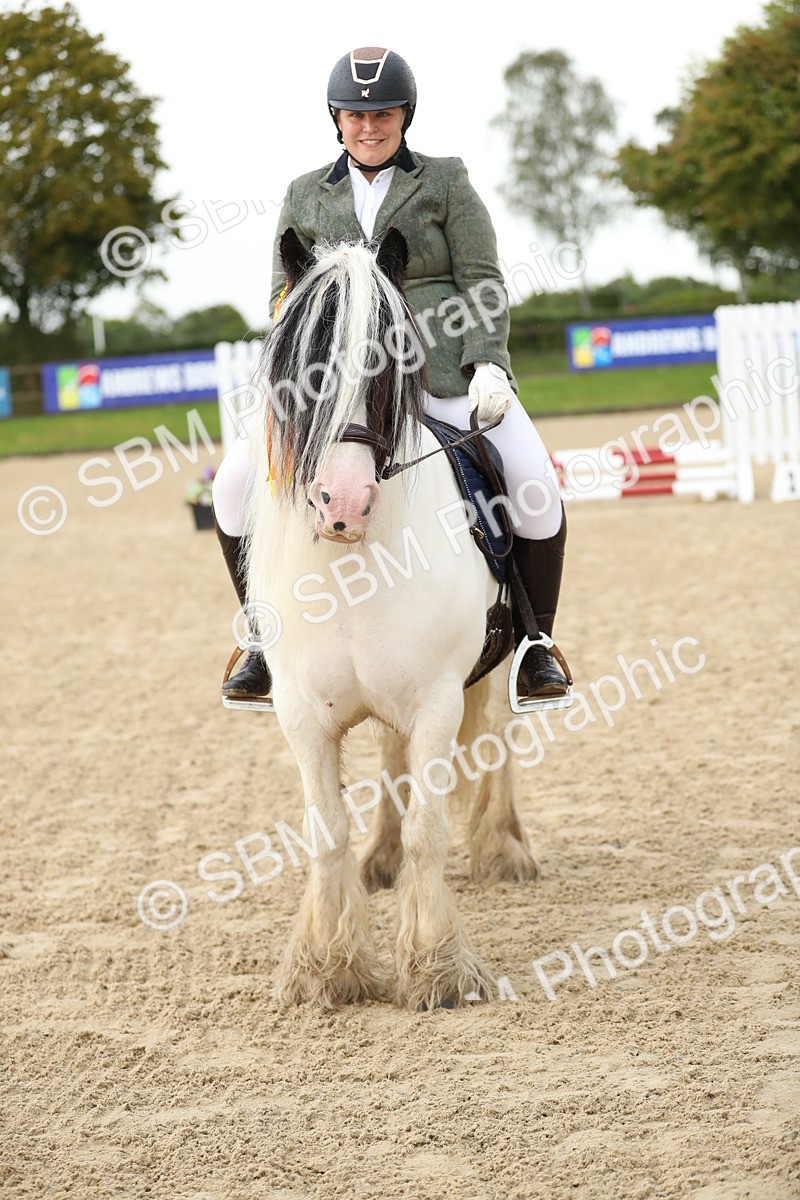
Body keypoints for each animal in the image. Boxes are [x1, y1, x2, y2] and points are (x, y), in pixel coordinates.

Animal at [244, 227, 538, 1010]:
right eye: (305, 366)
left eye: (392, 360)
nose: (342, 505)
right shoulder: (302, 714)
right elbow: (327, 833)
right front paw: (329, 968)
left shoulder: (437, 699)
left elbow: (430, 833)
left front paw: (436, 967)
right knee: (390, 760)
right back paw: (379, 861)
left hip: (499, 668)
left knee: (497, 738)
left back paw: (504, 848)